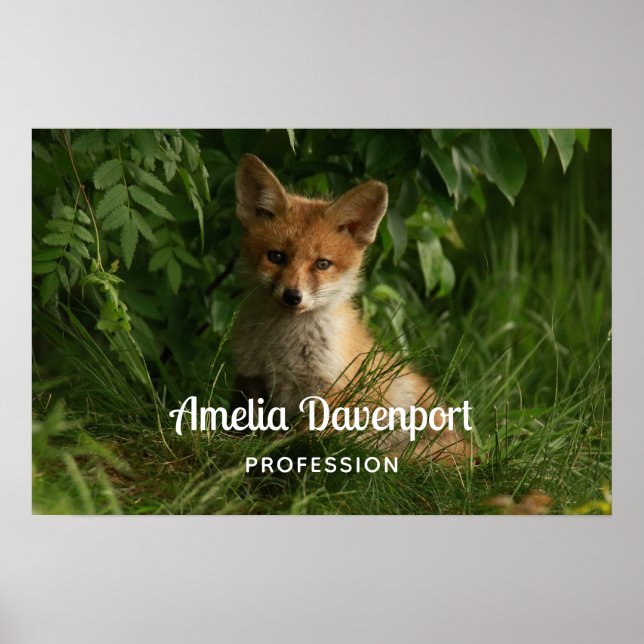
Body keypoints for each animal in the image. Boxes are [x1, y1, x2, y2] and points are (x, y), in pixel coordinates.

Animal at [230, 154, 471, 462]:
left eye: (322, 264)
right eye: (276, 256)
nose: (293, 296)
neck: (282, 347)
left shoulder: (334, 391)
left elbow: (306, 437)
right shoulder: (251, 378)